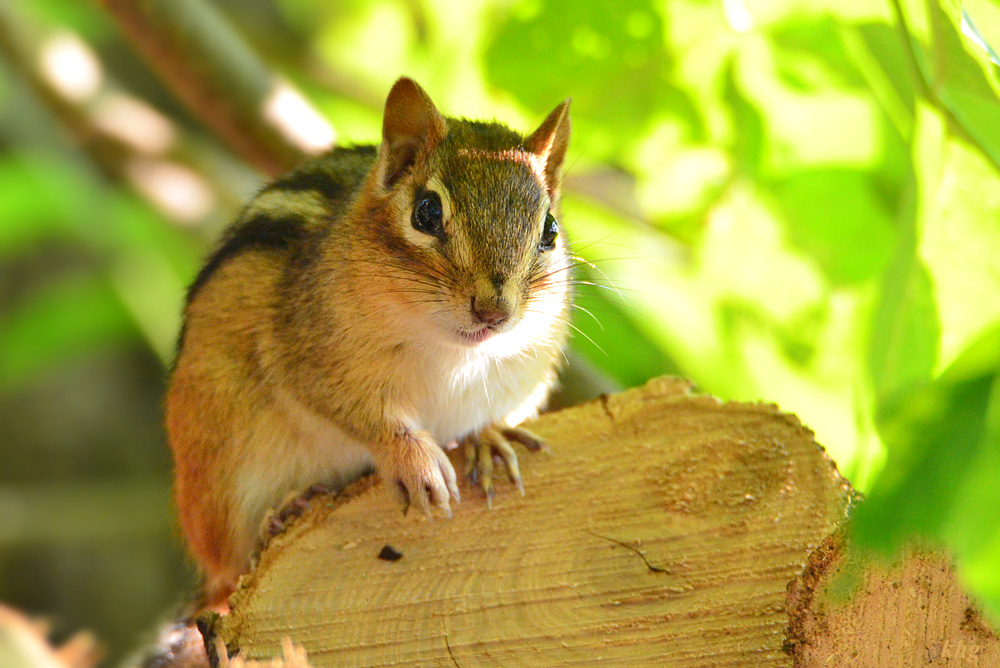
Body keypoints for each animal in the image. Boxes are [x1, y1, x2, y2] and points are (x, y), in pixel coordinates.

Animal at [165, 77, 573, 608]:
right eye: (426, 212)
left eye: (550, 230)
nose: (493, 311)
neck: (450, 352)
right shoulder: (308, 356)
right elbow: (358, 414)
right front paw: (416, 463)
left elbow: (491, 417)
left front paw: (488, 438)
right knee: (230, 568)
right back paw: (284, 510)